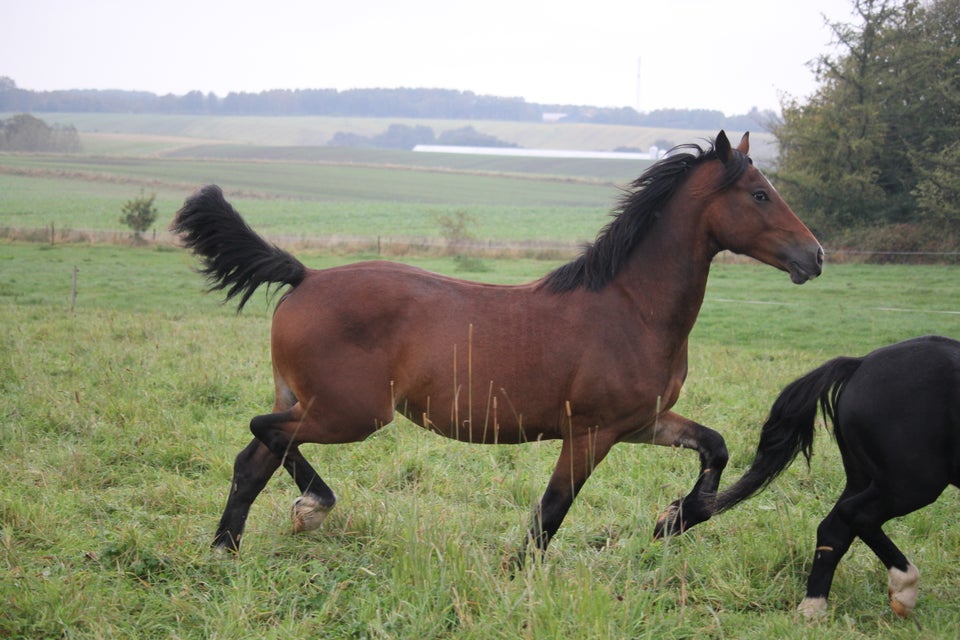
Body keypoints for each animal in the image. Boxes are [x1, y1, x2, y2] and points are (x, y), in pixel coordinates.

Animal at [172, 131, 824, 564]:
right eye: (760, 194)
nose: (814, 256)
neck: (631, 308)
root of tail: (304, 276)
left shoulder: (642, 422)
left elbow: (714, 447)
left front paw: (675, 520)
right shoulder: (590, 433)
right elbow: (551, 512)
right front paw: (517, 576)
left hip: (307, 401)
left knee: (253, 460)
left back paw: (227, 550)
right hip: (350, 413)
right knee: (265, 434)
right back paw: (310, 507)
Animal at [704, 338, 960, 616]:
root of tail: (860, 363)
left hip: (865, 479)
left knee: (834, 528)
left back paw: (813, 608)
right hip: (912, 484)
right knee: (856, 515)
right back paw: (904, 589)